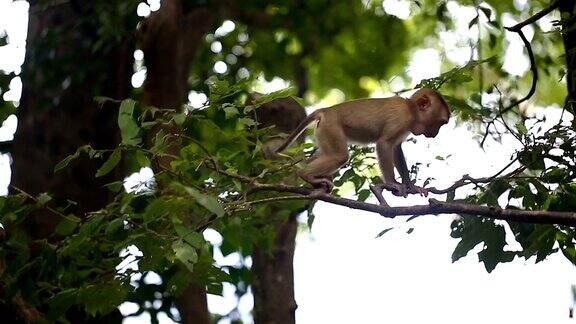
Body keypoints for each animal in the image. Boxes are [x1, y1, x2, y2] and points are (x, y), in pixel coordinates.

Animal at [274, 87, 450, 196]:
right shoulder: (402, 117)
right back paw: (305, 175)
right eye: (440, 123)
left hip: (323, 131)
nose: (435, 134)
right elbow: (384, 144)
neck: (410, 109)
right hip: (331, 127)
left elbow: (396, 148)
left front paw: (411, 185)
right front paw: (393, 183)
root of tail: (325, 111)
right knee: (339, 156)